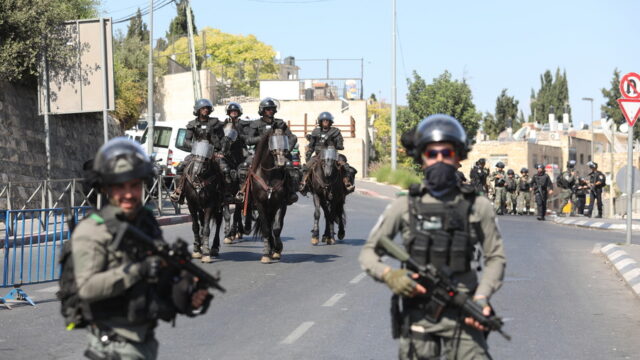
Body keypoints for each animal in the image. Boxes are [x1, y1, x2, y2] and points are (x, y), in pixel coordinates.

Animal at [244, 128, 292, 262]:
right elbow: (266, 229)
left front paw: (277, 249)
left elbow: (276, 228)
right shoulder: (260, 204)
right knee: (267, 226)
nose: (282, 163)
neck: (269, 177)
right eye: (273, 141)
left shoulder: (281, 204)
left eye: (285, 140)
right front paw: (266, 253)